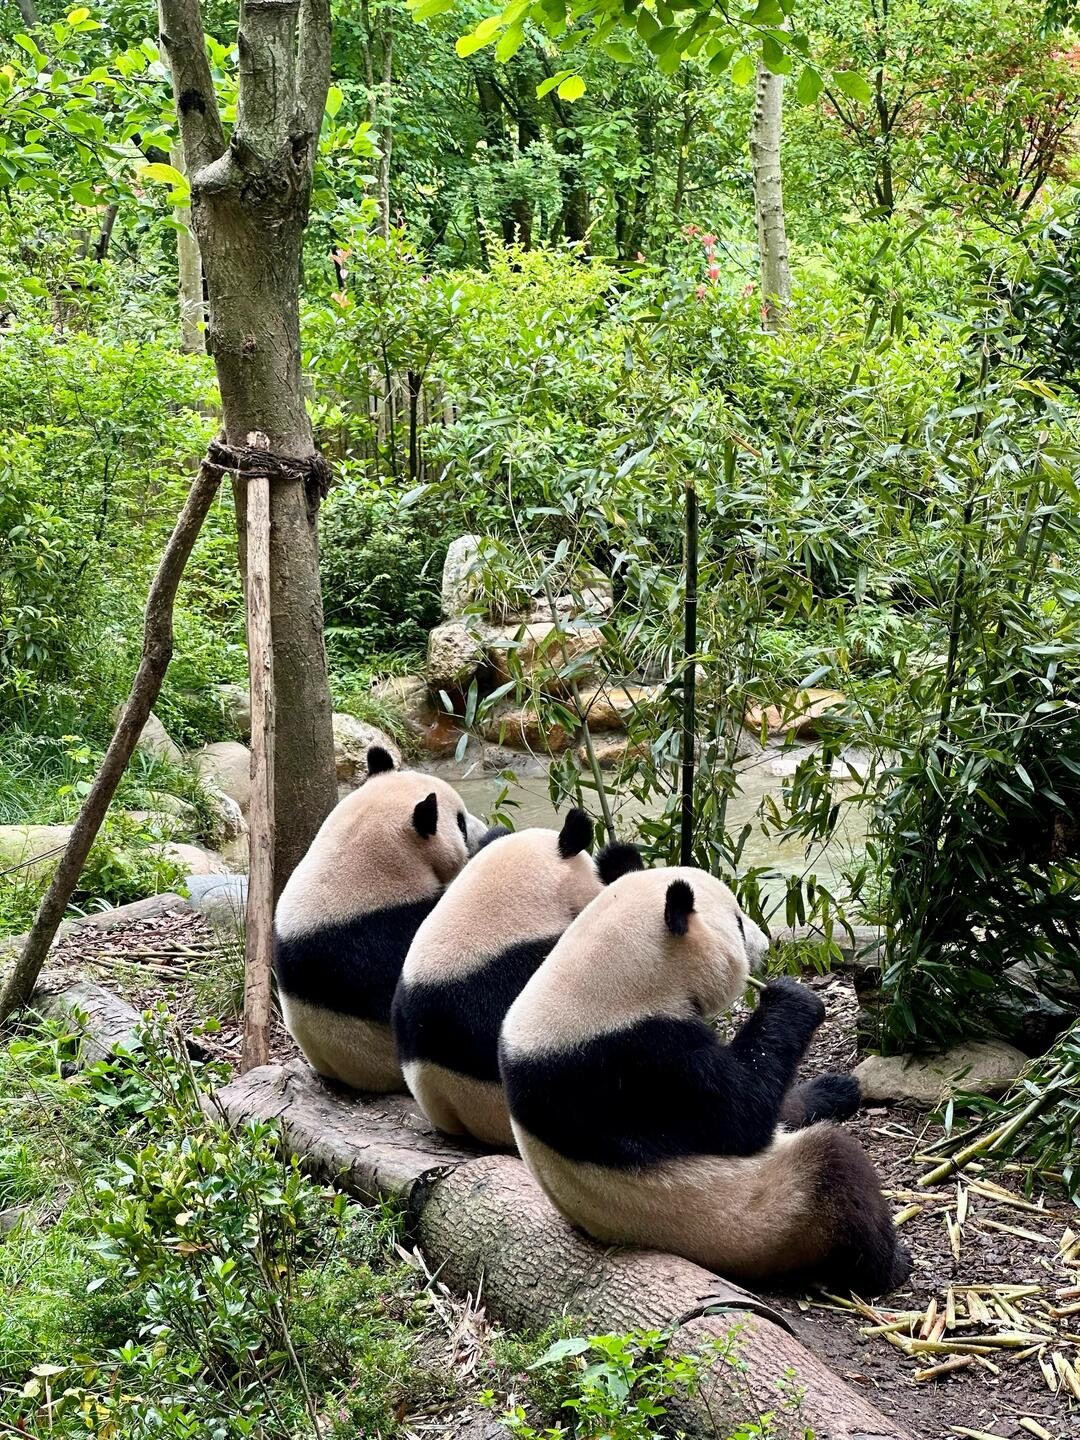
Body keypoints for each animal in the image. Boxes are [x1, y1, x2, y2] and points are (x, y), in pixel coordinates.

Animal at [499, 865, 907, 1295]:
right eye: (739, 923)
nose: (767, 948)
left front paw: (834, 1088)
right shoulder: (638, 1062)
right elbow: (742, 1114)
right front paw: (793, 997)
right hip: (759, 1219)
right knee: (837, 1170)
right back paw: (888, 1264)